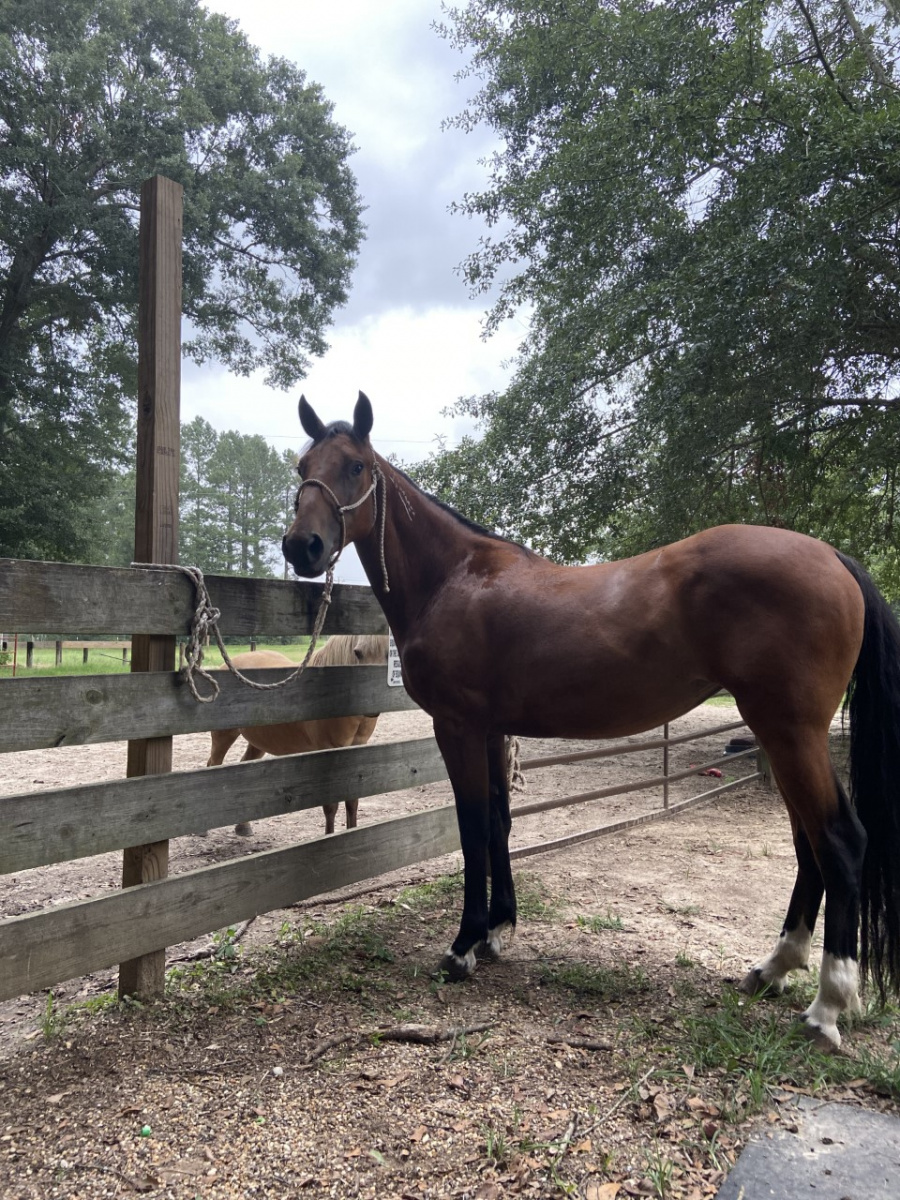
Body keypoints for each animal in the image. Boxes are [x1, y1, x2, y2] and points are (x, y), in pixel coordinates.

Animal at [207, 638, 391, 835]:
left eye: (389, 652)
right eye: (357, 653)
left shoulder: (358, 748)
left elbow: (352, 801)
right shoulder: (327, 750)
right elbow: (331, 806)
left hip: (258, 742)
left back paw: (244, 827)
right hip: (223, 735)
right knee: (213, 764)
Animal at [282, 391, 900, 1051]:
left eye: (355, 468)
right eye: (302, 467)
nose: (302, 547)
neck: (455, 578)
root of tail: (831, 555)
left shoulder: (458, 727)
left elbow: (472, 828)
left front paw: (463, 946)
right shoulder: (493, 730)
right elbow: (499, 822)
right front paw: (497, 930)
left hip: (790, 731)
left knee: (839, 840)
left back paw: (827, 1006)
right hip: (779, 734)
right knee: (809, 843)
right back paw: (773, 969)